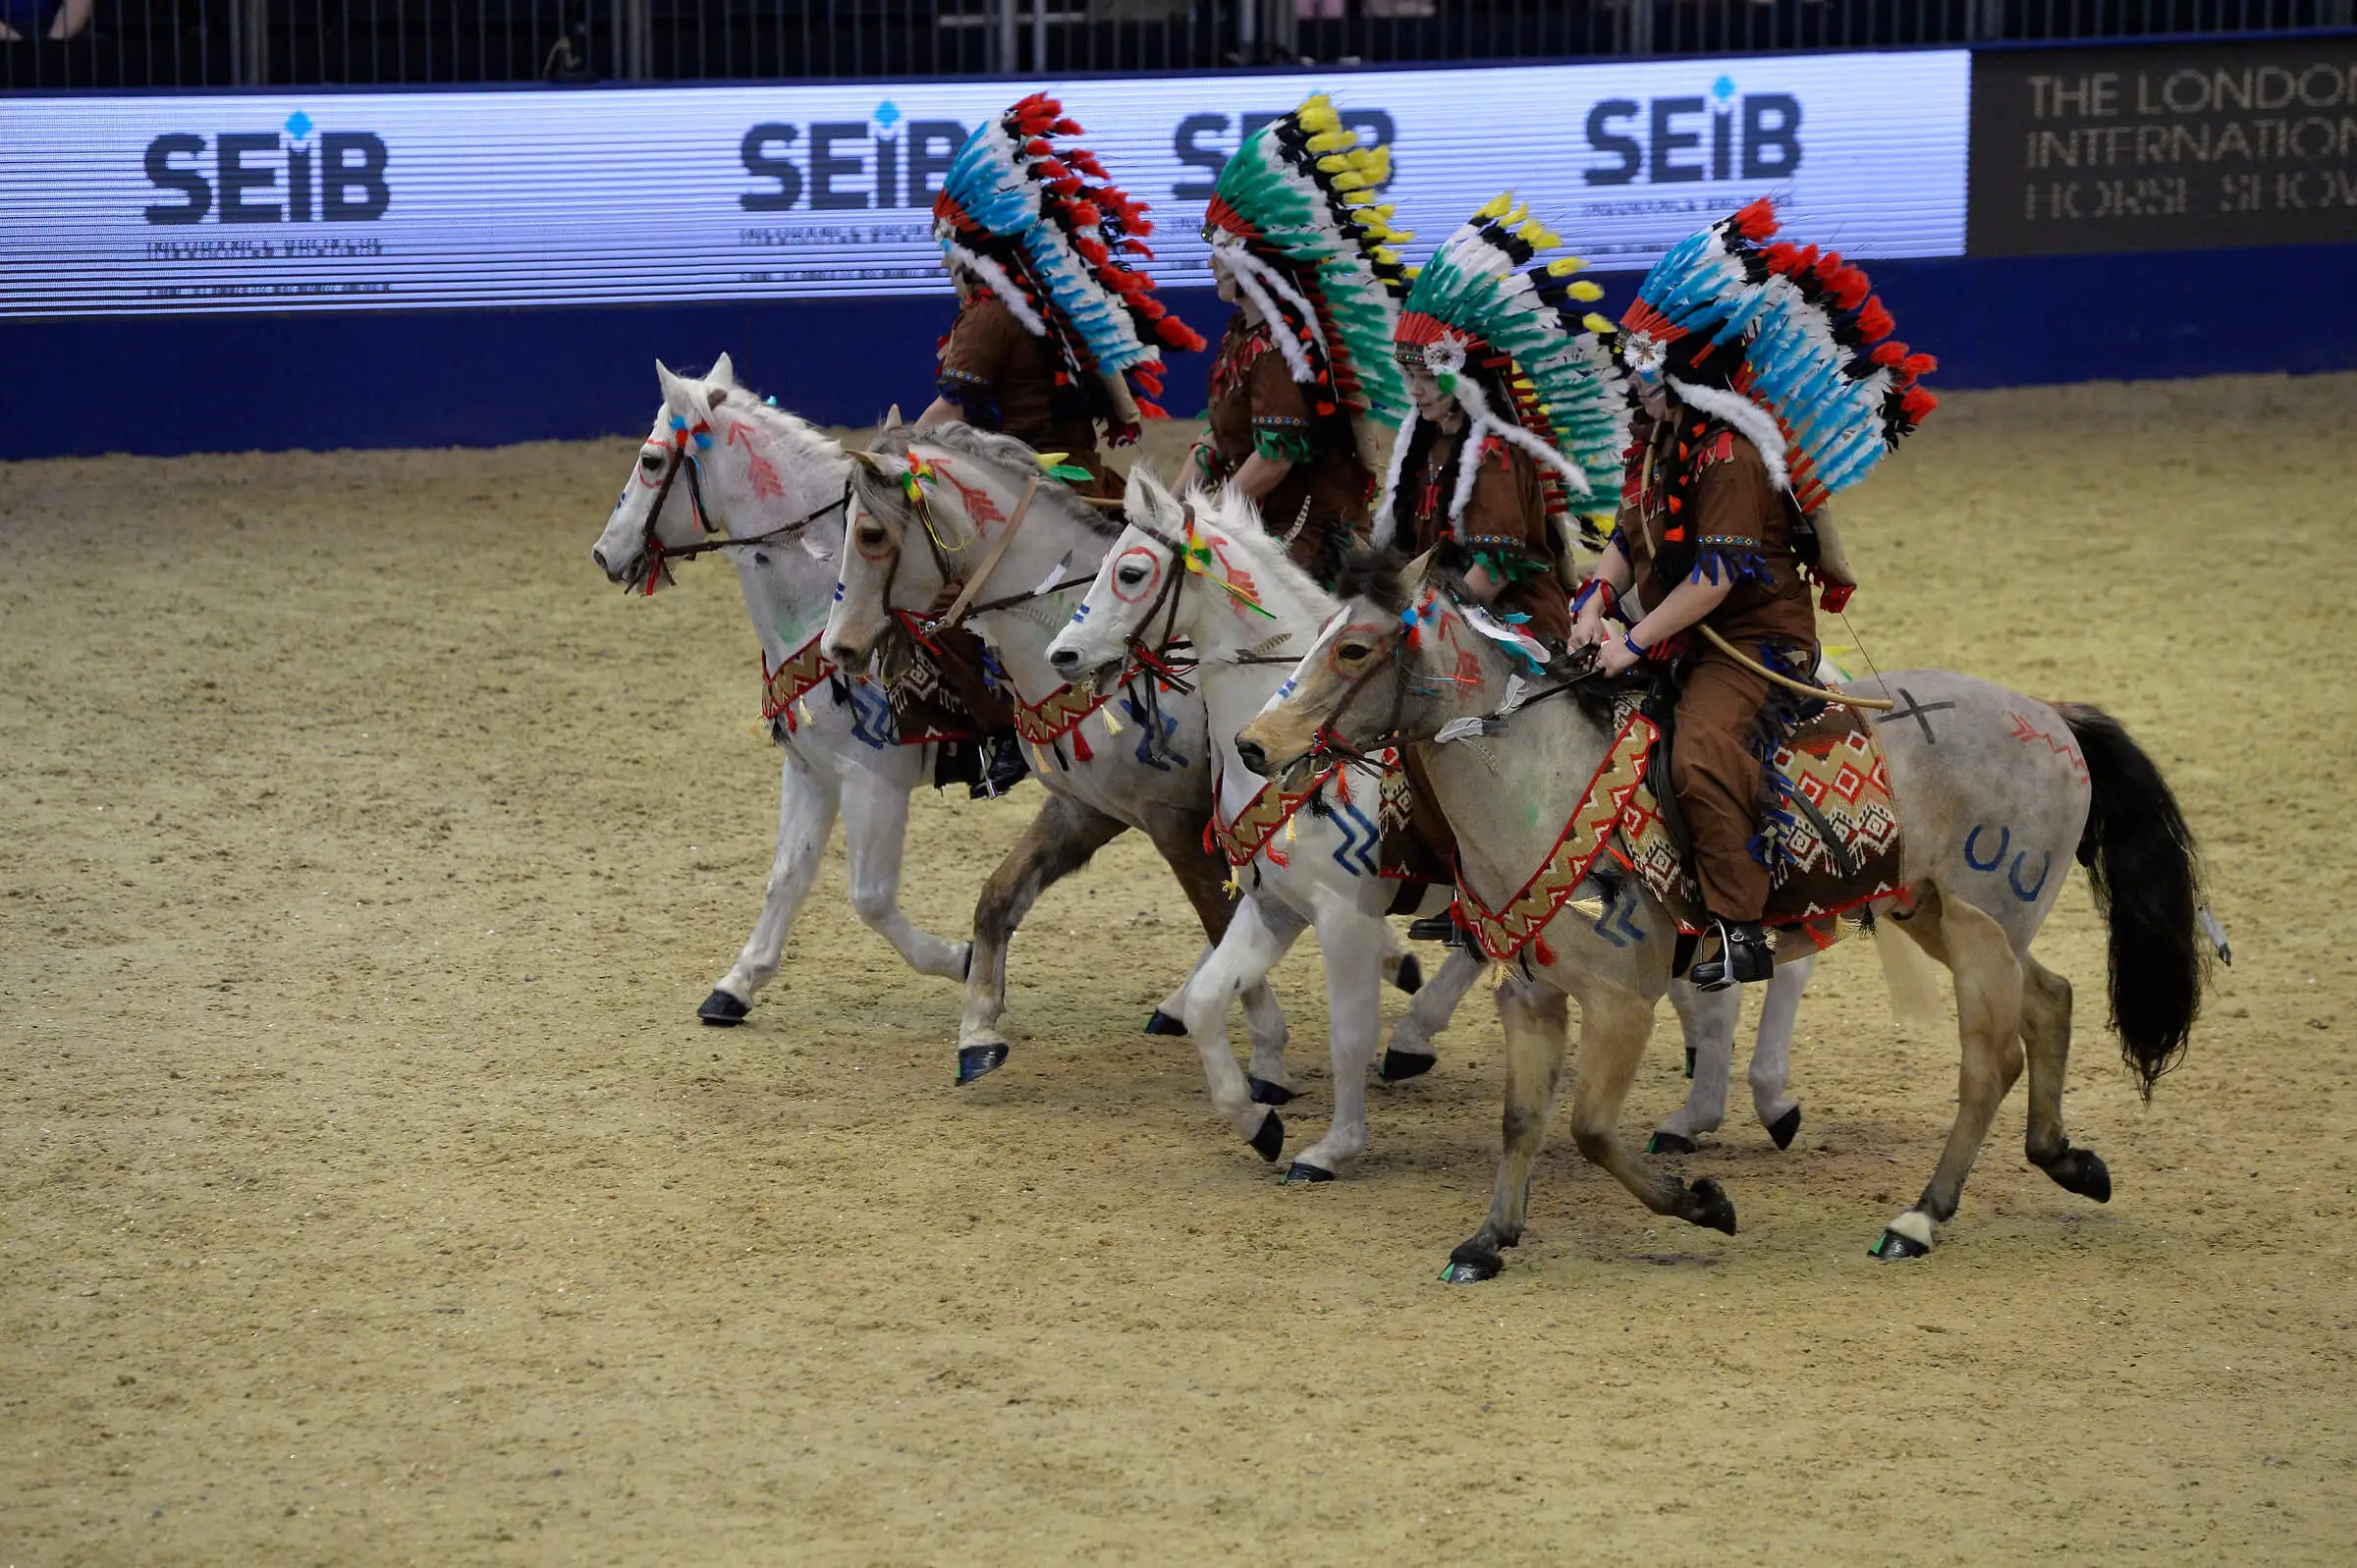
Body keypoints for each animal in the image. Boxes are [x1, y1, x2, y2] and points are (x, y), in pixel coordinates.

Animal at [593, 362, 970, 1028]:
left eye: (650, 460)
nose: (604, 553)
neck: (827, 596)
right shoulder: (811, 770)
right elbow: (788, 875)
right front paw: (737, 984)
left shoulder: (875, 782)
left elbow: (871, 899)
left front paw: (962, 958)